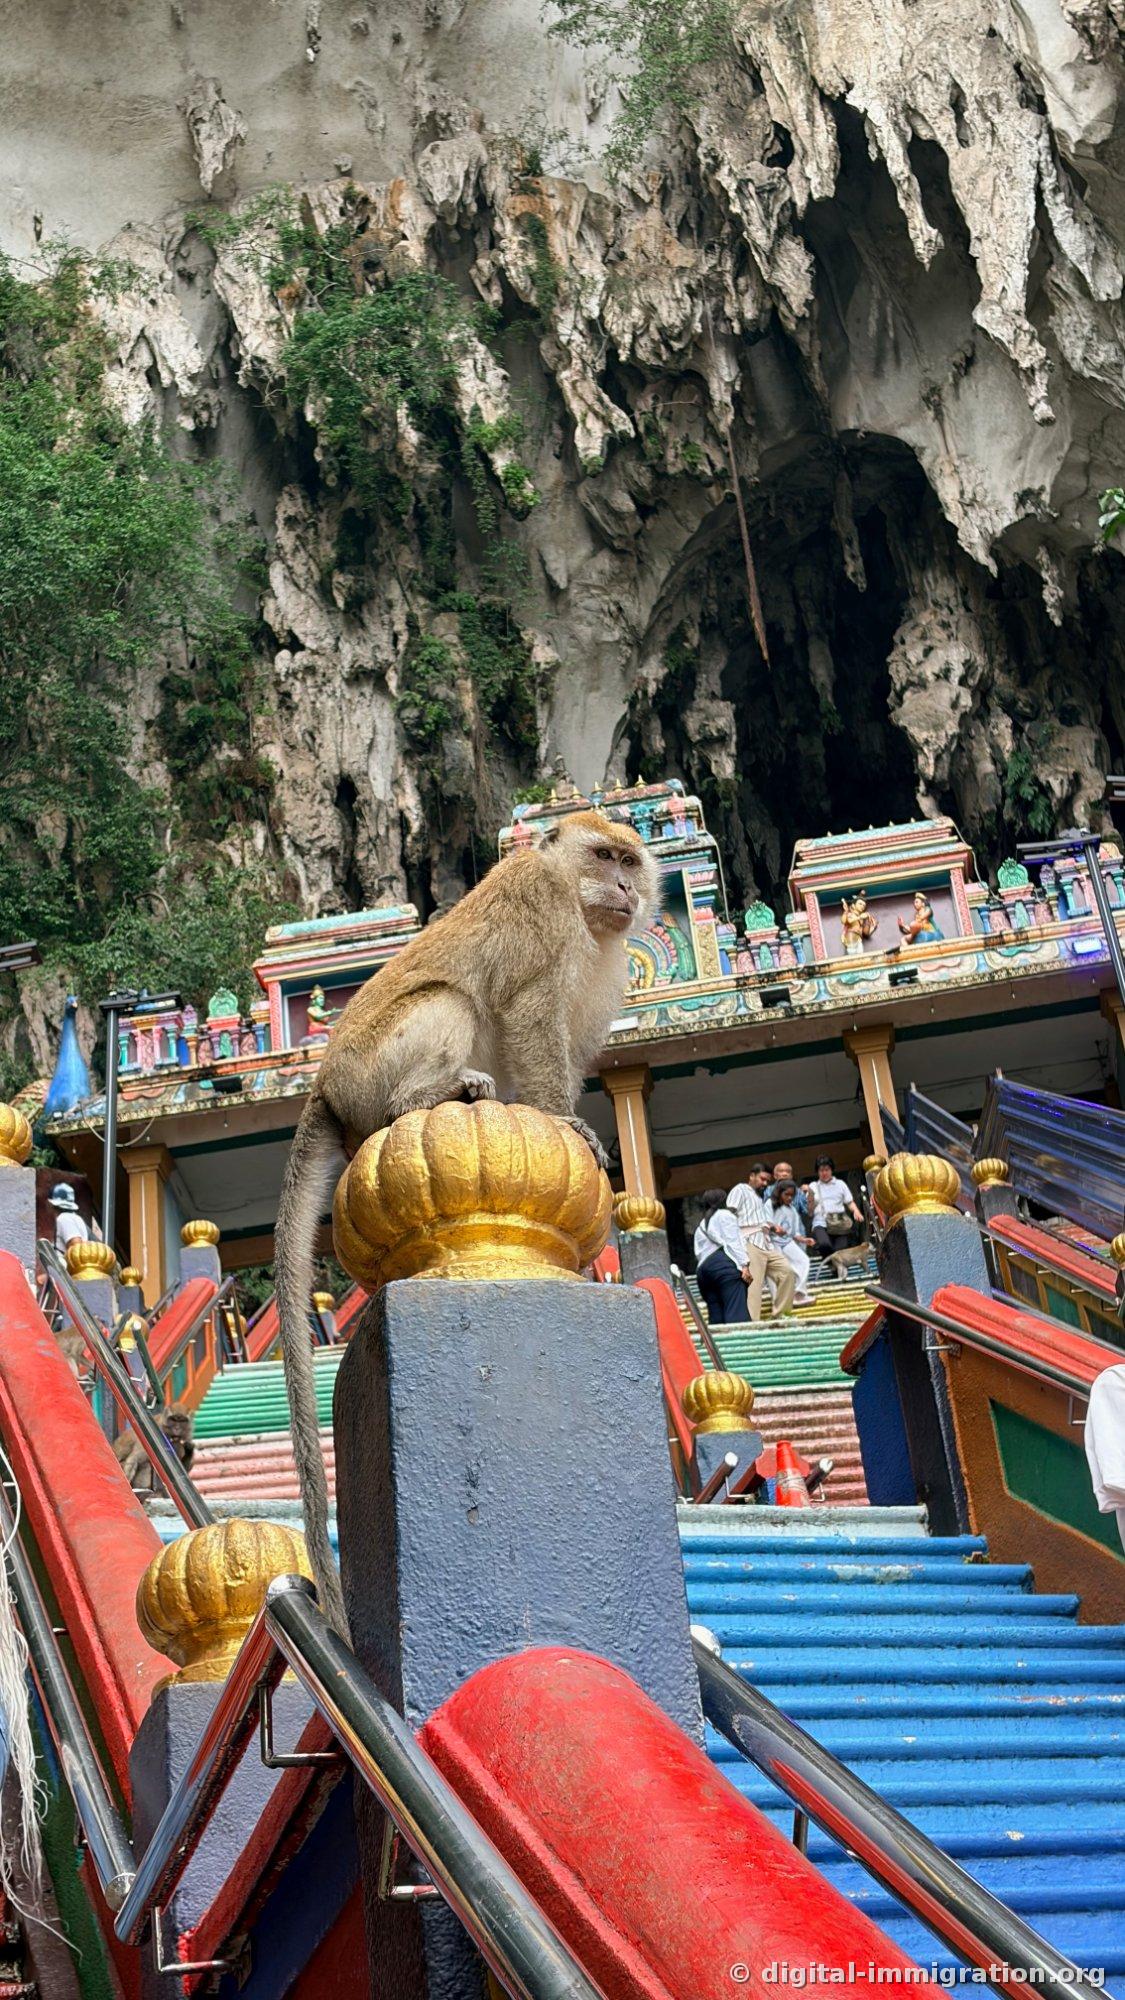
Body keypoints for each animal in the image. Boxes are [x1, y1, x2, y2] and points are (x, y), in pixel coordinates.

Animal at [275, 808, 659, 1632]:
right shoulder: (539, 910)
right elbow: (528, 1016)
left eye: (631, 862)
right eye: (603, 856)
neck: (577, 903)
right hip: (372, 1068)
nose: (623, 889)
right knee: (444, 999)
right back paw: (431, 1095)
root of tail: (324, 1087)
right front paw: (565, 1124)